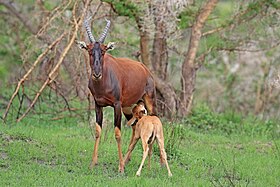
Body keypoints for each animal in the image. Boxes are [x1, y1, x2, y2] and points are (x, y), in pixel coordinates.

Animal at [76, 17, 158, 172]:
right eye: (89, 50)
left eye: (103, 51)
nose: (97, 73)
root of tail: (145, 70)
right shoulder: (98, 105)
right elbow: (98, 131)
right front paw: (93, 163)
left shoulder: (117, 105)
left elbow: (118, 133)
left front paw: (120, 168)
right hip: (129, 107)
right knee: (135, 127)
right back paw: (127, 160)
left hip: (148, 102)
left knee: (153, 121)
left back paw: (152, 165)